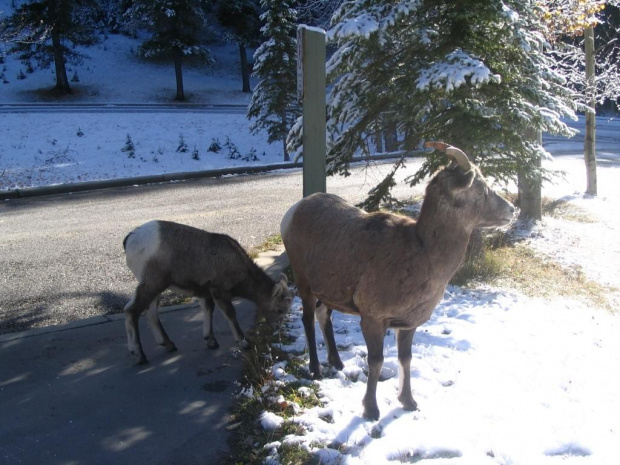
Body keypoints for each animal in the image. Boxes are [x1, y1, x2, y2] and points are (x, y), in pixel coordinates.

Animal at [123, 219, 294, 364]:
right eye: (280, 310)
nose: (277, 329)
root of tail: (130, 239)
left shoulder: (206, 294)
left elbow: (208, 311)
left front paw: (211, 342)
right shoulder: (219, 292)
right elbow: (230, 314)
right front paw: (243, 342)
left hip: (155, 286)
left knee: (149, 312)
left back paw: (168, 345)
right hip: (153, 284)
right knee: (132, 311)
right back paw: (140, 356)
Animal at [280, 140, 512, 416]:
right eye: (479, 189)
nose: (511, 209)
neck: (421, 258)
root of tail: (290, 214)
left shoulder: (408, 323)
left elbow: (406, 359)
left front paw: (409, 402)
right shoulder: (372, 318)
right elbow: (376, 362)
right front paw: (371, 410)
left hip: (328, 291)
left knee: (323, 314)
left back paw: (337, 363)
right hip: (303, 281)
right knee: (307, 319)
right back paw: (315, 370)